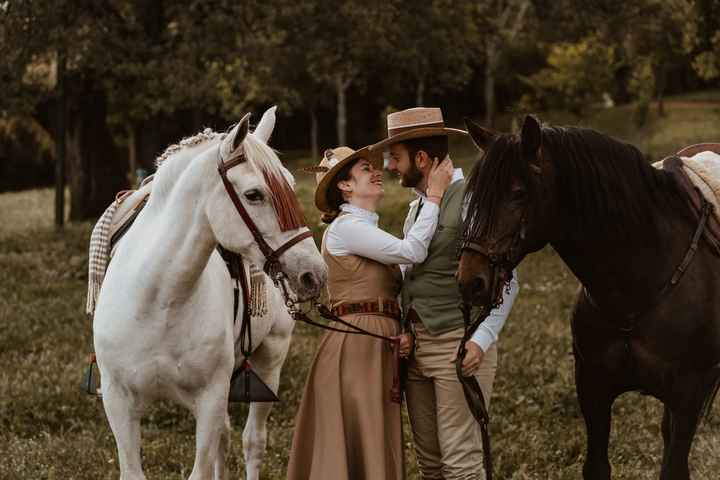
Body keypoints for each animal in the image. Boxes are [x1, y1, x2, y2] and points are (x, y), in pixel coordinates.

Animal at [93, 109, 326, 480]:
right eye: (254, 194)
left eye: (290, 186)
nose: (313, 273)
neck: (159, 299)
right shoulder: (118, 400)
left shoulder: (210, 398)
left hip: (271, 358)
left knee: (252, 442)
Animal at [456, 114, 720, 478]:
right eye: (473, 197)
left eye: (518, 193)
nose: (471, 281)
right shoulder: (593, 388)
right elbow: (596, 465)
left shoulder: (687, 398)